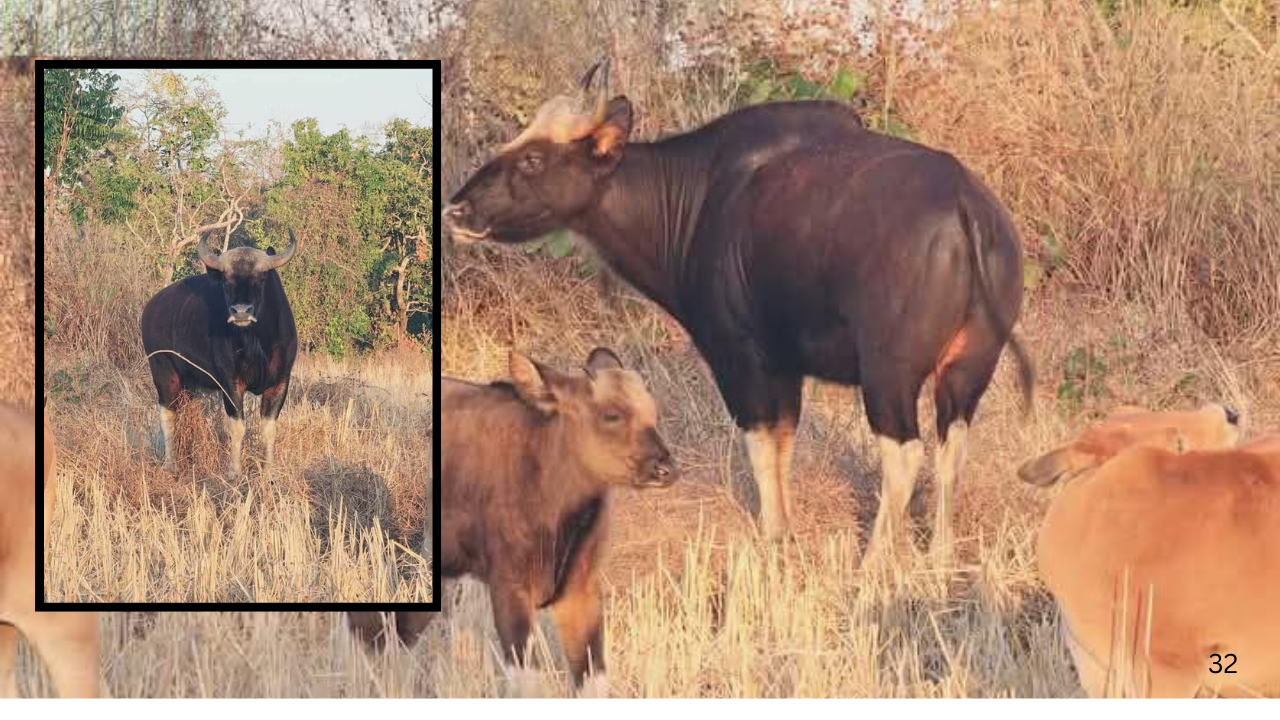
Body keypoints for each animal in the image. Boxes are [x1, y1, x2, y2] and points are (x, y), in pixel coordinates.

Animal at [140, 229, 299, 476]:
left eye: (261, 279)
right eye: (226, 280)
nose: (241, 312)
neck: (257, 344)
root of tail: (150, 309)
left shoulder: (281, 380)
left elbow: (269, 427)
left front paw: (269, 471)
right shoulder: (230, 382)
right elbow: (237, 426)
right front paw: (235, 471)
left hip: (189, 383)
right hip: (163, 372)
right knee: (167, 414)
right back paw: (171, 464)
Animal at [445, 60, 1034, 556]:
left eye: (533, 158)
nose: (457, 209)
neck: (697, 199)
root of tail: (967, 207)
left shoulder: (740, 358)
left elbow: (760, 445)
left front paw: (774, 536)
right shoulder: (786, 366)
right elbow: (784, 442)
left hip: (889, 372)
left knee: (905, 453)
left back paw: (873, 566)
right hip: (968, 369)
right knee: (952, 447)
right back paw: (940, 558)